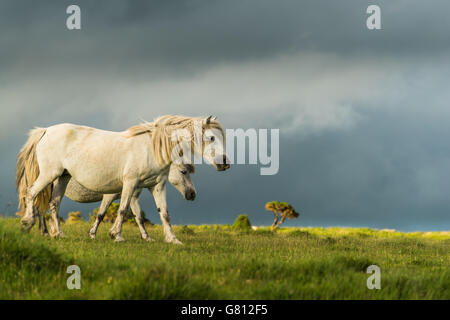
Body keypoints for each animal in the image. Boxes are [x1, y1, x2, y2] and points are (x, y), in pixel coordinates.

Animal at [16, 115, 230, 242]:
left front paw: (172, 239)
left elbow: (163, 213)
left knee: (53, 204)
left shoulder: (157, 186)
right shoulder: (129, 184)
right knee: (32, 195)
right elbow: (122, 210)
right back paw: (28, 224)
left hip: (62, 178)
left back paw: (58, 234)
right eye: (211, 137)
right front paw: (116, 235)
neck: (151, 148)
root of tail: (45, 130)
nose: (225, 163)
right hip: (49, 175)